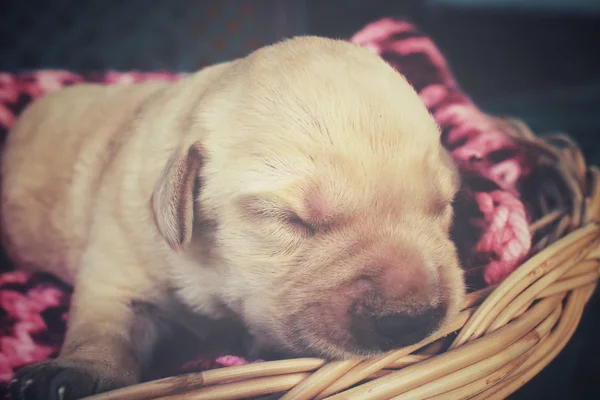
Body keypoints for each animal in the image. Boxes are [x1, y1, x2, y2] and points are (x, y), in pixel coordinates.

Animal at [0, 36, 464, 398]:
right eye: (291, 220)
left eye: (443, 206)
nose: (412, 319)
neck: (212, 277)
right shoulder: (118, 265)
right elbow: (104, 326)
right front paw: (74, 373)